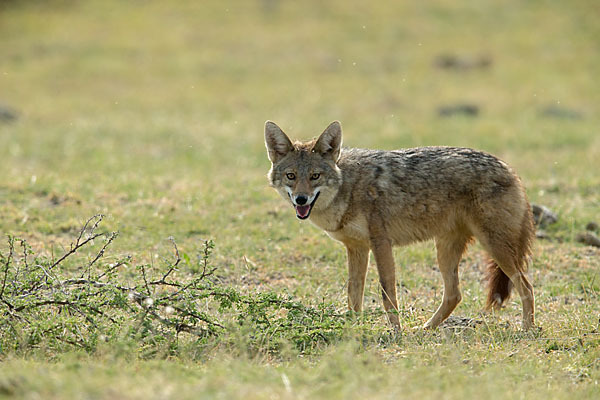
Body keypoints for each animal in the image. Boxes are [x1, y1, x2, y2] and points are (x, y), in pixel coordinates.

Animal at [264, 120, 536, 330]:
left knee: (527, 286)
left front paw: (396, 332)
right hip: (446, 251)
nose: (301, 199)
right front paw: (352, 329)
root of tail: (510, 169)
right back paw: (426, 328)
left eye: (315, 176)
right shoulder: (357, 248)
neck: (348, 188)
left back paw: (527, 330)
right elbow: (354, 294)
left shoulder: (381, 243)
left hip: (494, 248)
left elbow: (387, 292)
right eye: (291, 176)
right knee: (454, 295)